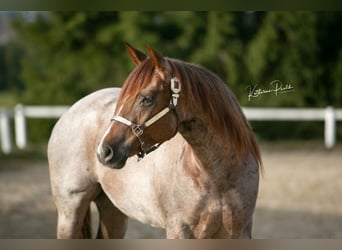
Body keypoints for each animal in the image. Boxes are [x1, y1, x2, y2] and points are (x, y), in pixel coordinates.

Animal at [47, 43, 262, 238]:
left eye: (147, 99)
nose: (104, 151)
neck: (217, 177)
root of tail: (70, 111)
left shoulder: (239, 233)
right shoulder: (179, 230)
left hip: (113, 210)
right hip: (70, 210)